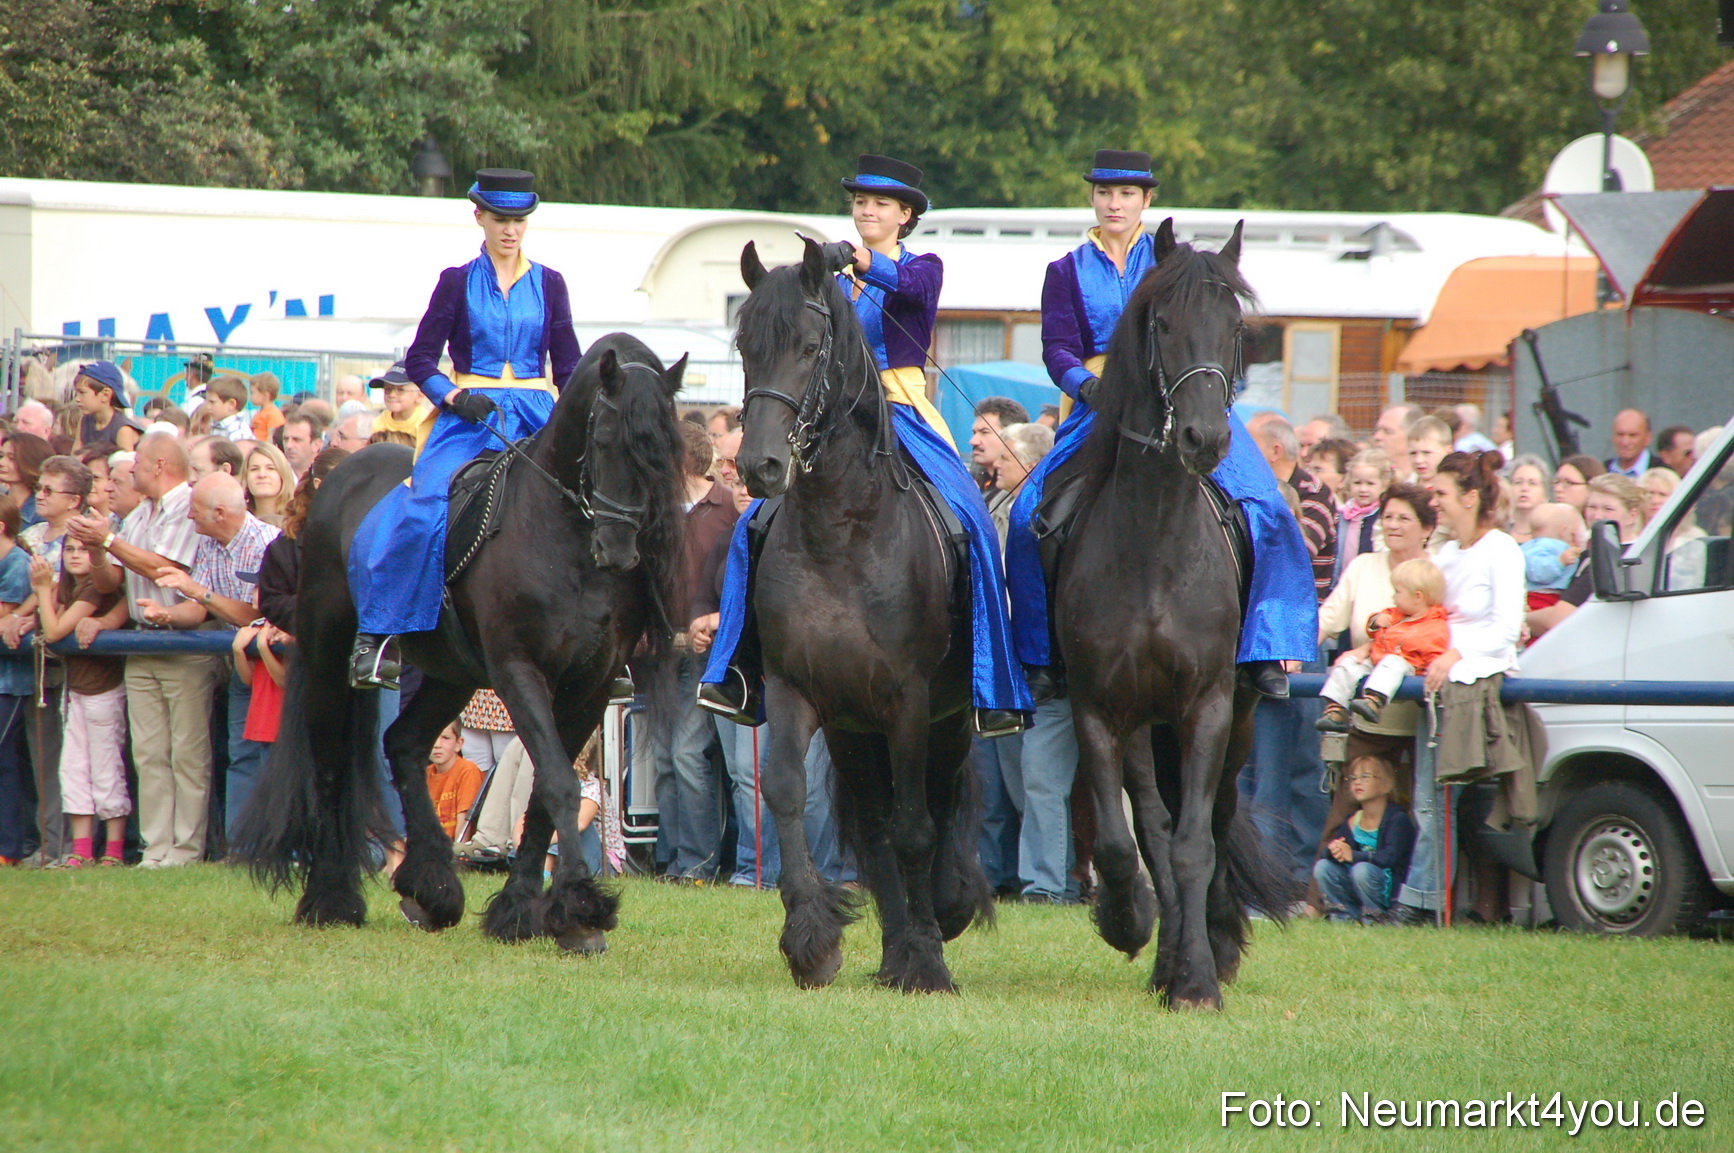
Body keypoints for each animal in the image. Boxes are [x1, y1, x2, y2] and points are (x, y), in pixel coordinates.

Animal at [233, 334, 686, 955]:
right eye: (605, 440)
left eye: (665, 451)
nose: (619, 551)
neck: (565, 538)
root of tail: (341, 474)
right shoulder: (520, 671)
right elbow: (561, 784)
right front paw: (579, 907)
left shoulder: (590, 688)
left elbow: (544, 791)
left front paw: (521, 912)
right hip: (328, 654)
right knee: (328, 762)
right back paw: (332, 899)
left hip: (451, 674)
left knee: (402, 743)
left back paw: (430, 887)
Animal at [730, 237, 992, 992]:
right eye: (745, 347)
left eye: (809, 345)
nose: (758, 466)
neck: (841, 532)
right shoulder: (799, 690)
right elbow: (788, 792)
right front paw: (811, 939)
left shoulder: (909, 700)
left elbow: (916, 827)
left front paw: (930, 957)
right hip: (853, 731)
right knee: (874, 830)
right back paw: (895, 944)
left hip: (942, 721)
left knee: (937, 805)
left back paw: (940, 915)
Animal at [1049, 220, 1292, 1009]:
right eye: (1161, 325)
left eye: (1236, 328)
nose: (1203, 439)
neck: (1154, 543)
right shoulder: (1103, 708)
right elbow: (1130, 842)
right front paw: (1128, 921)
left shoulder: (1208, 706)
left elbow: (1193, 844)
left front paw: (1200, 978)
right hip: (1143, 727)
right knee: (1152, 827)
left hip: (1238, 720)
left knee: (1212, 821)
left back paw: (1210, 943)